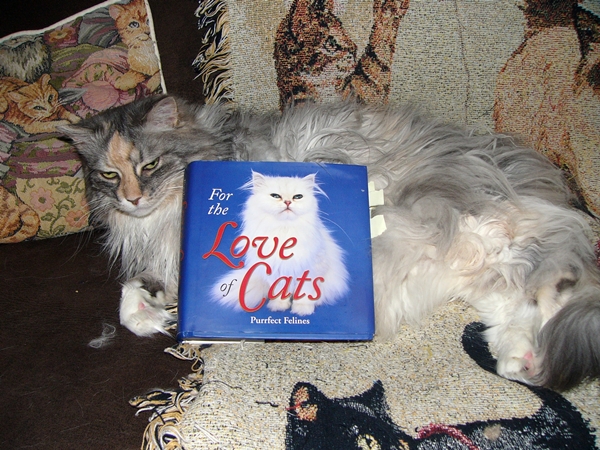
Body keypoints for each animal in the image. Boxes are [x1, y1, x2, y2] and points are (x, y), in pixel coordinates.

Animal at [212, 171, 348, 315]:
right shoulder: (275, 271)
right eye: (275, 196)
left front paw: (302, 310)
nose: (287, 202)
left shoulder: (311, 270)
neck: (284, 231)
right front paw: (279, 306)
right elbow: (280, 292)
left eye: (298, 197)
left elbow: (305, 293)